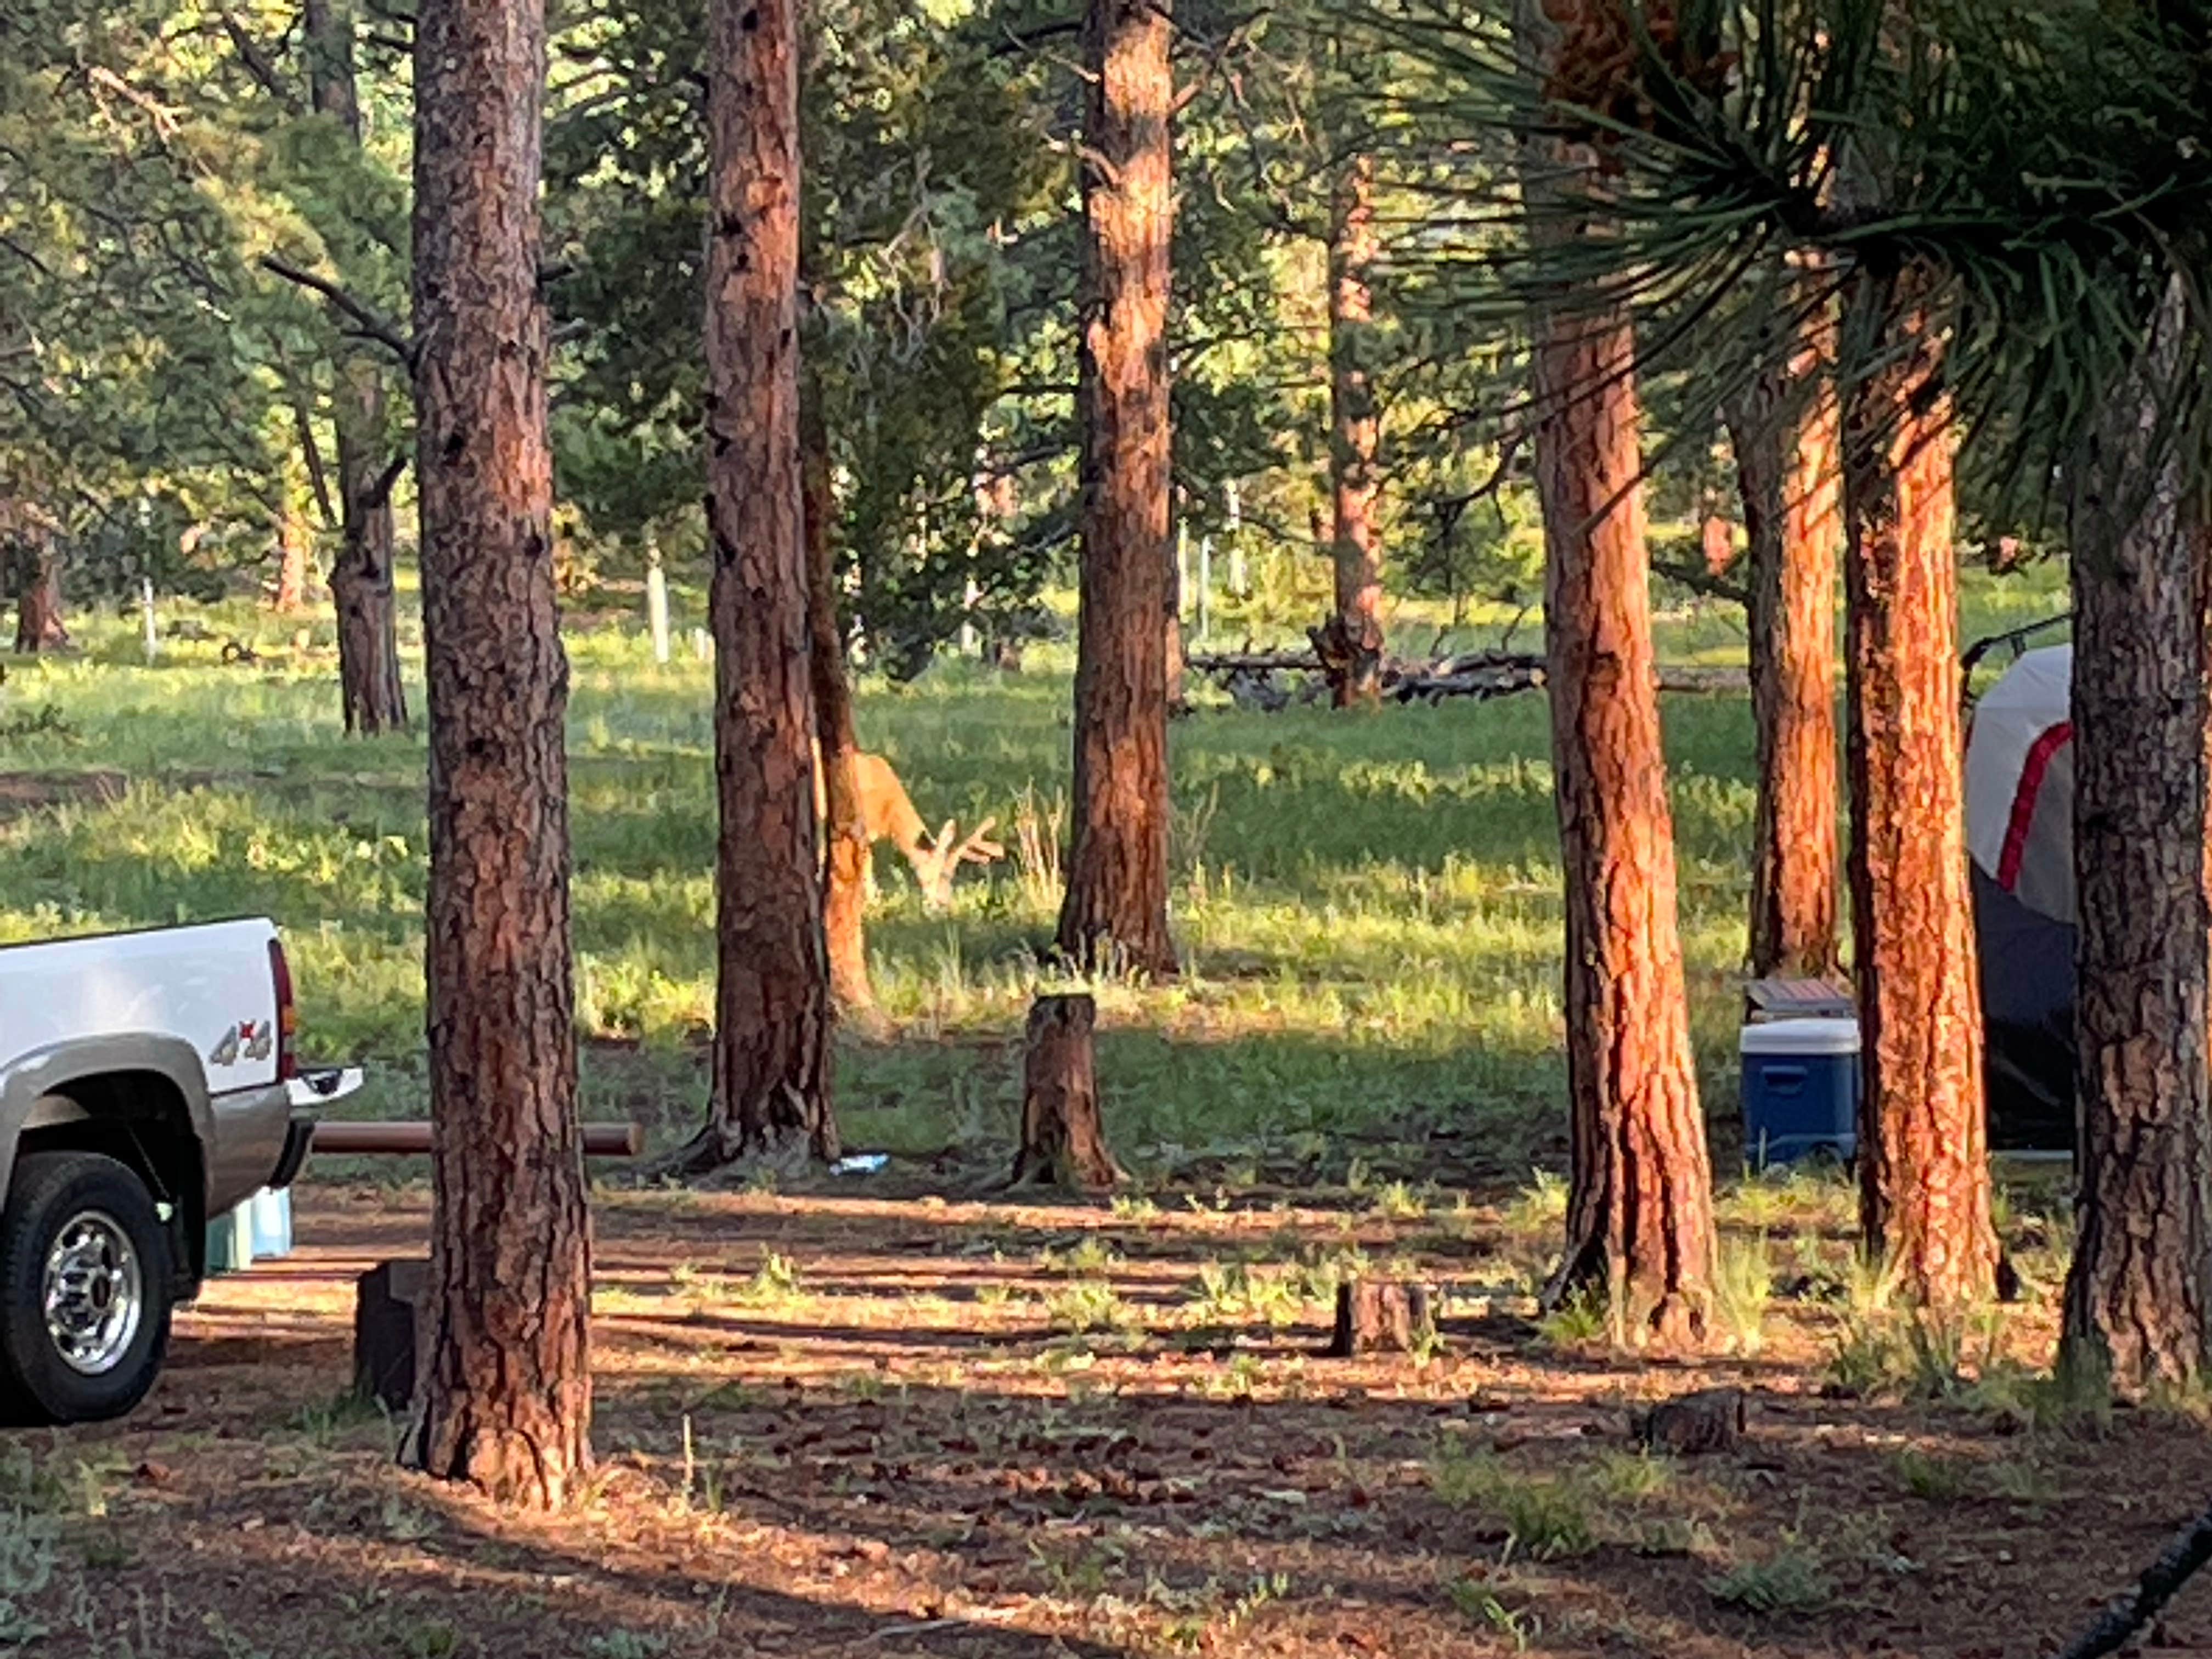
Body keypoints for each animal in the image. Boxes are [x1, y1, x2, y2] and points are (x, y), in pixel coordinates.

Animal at [812, 740, 1005, 912]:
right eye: (944, 874)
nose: (944, 905)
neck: (887, 811)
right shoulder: (859, 827)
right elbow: (865, 865)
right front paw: (871, 903)